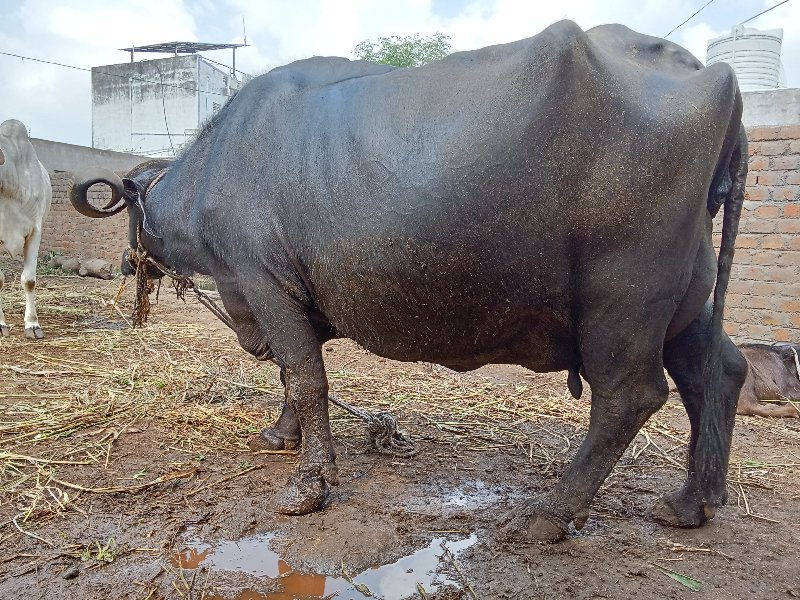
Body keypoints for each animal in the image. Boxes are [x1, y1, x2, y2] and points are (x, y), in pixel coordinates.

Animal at [70, 21, 752, 540]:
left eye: (131, 215)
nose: (129, 264)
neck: (214, 168)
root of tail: (718, 81)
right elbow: (293, 376)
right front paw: (282, 436)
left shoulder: (265, 282)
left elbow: (308, 380)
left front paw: (308, 487)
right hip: (684, 300)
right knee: (717, 370)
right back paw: (692, 501)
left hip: (622, 302)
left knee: (630, 396)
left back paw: (546, 514)